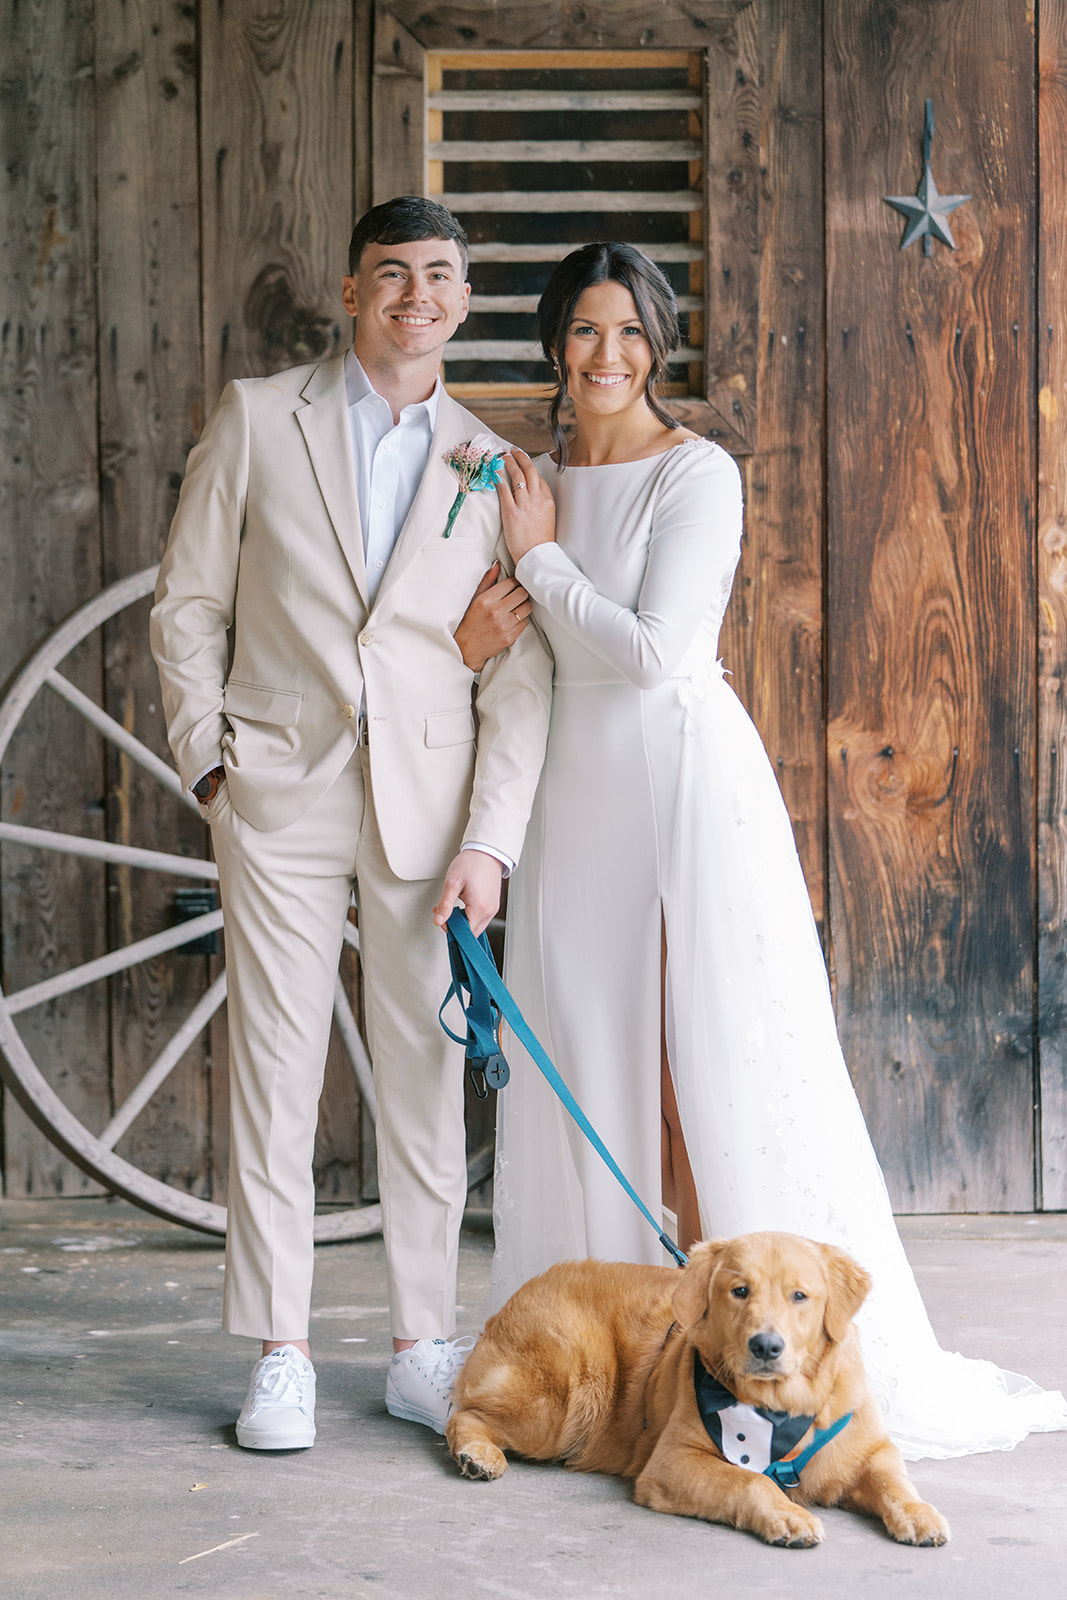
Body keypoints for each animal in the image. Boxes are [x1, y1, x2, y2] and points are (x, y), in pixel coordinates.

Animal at [447, 1222, 947, 1548]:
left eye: (799, 1296)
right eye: (740, 1291)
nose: (766, 1346)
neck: (779, 1411)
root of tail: (513, 1297)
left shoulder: (870, 1449)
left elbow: (895, 1482)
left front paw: (920, 1514)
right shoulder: (673, 1461)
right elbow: (750, 1482)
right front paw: (788, 1515)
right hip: (562, 1404)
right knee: (463, 1412)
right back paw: (478, 1455)